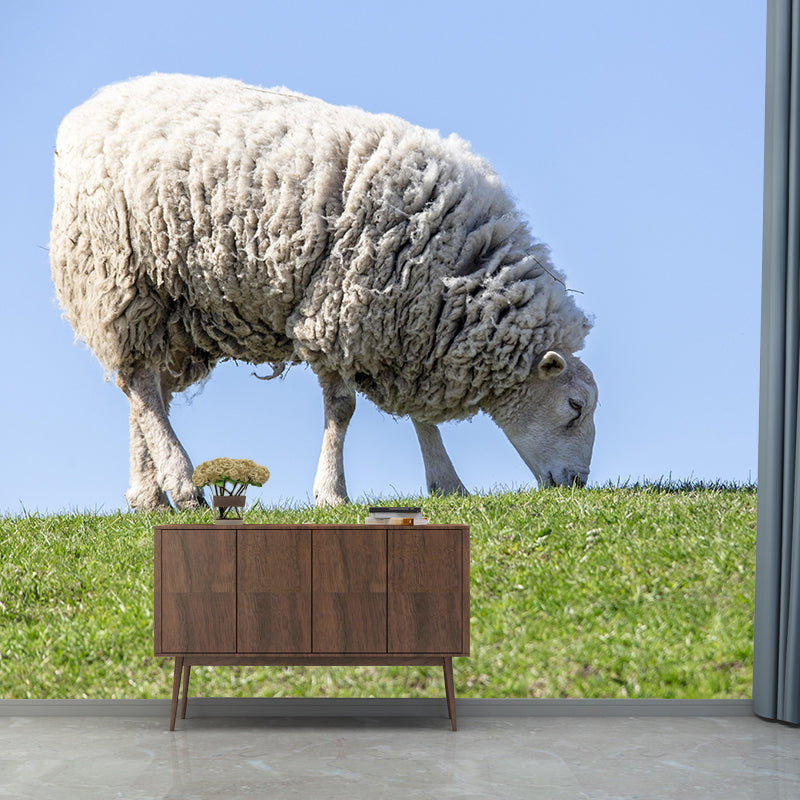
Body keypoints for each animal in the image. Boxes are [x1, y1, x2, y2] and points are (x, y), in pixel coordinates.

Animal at [50, 73, 598, 508]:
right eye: (575, 407)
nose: (577, 483)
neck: (456, 269)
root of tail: (88, 109)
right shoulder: (340, 311)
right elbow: (342, 409)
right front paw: (332, 492)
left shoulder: (409, 330)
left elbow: (420, 417)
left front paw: (447, 484)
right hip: (120, 277)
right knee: (141, 384)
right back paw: (182, 484)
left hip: (175, 308)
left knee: (146, 392)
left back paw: (149, 495)